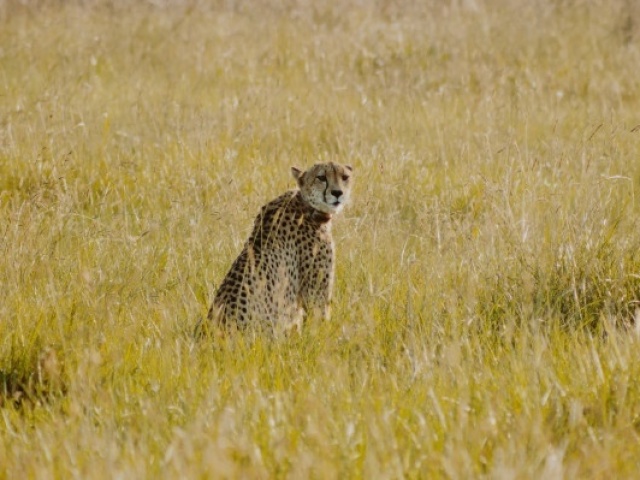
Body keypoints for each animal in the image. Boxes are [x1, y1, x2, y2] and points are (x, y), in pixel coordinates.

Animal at [205, 161, 356, 334]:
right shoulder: (315, 295)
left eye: (344, 177)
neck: (306, 205)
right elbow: (320, 324)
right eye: (321, 177)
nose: (337, 193)